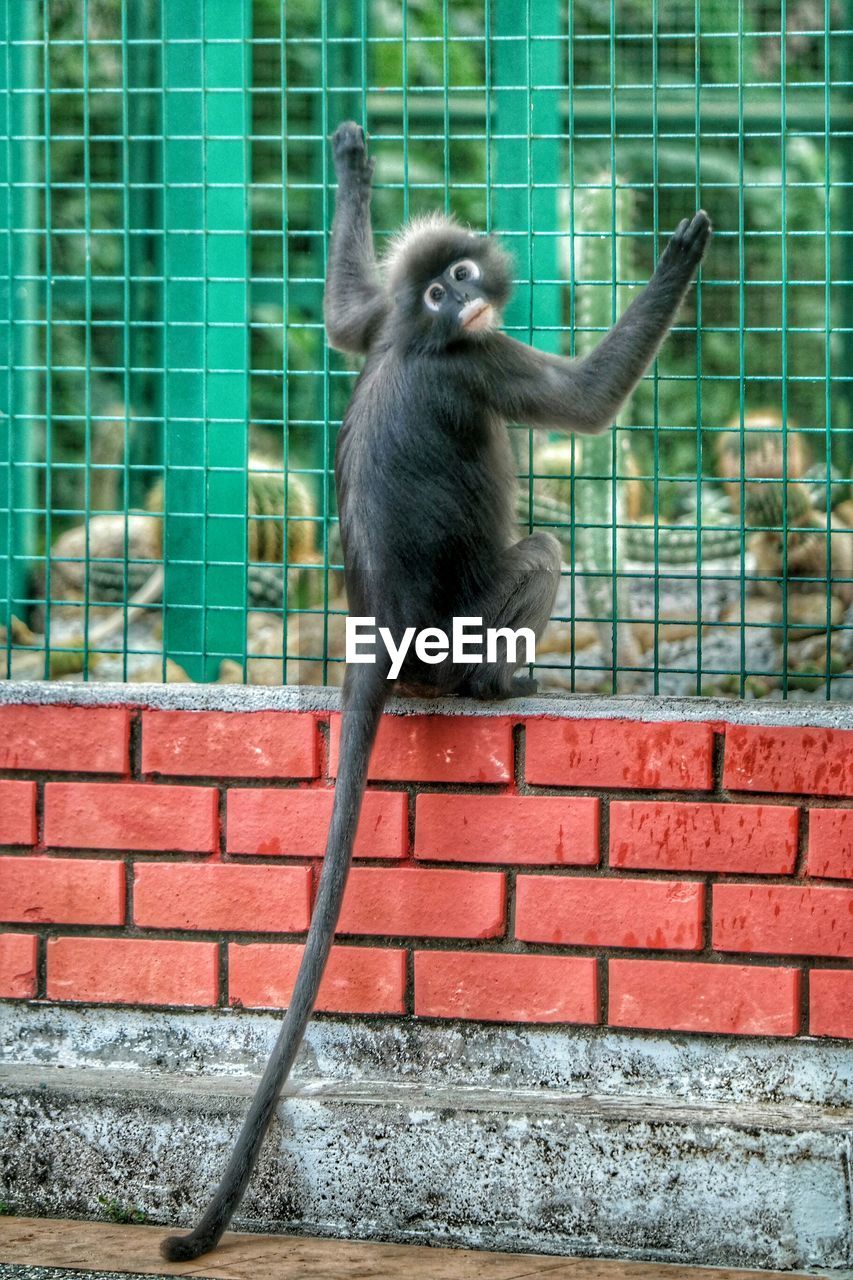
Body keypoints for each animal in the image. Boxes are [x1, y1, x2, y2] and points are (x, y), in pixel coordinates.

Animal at [161, 120, 712, 1259]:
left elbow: (342, 319)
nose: (464, 296)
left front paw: (353, 158)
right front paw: (679, 253)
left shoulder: (379, 326)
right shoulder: (477, 360)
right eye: (448, 284)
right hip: (470, 621)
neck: (421, 339)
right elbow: (586, 402)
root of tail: (380, 635)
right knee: (541, 550)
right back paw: (502, 682)